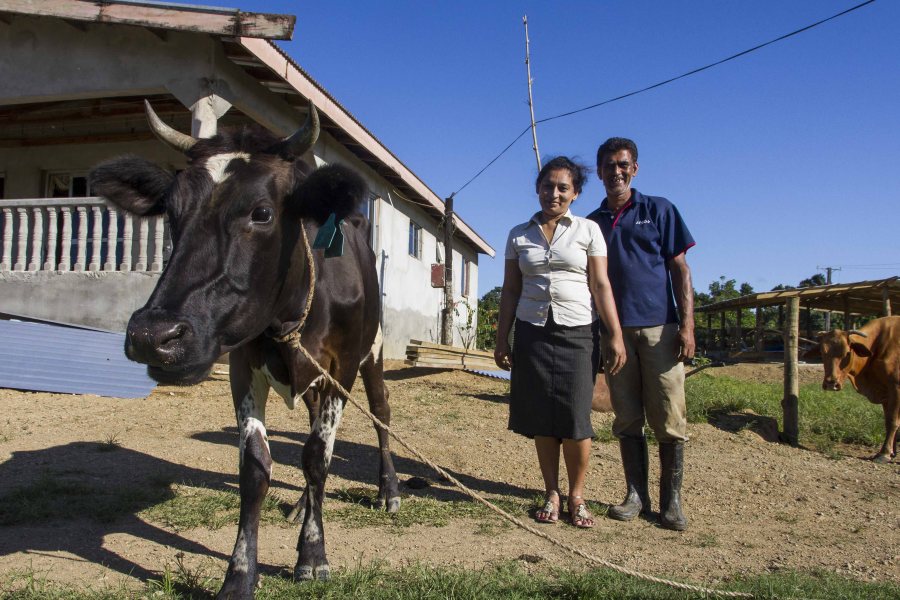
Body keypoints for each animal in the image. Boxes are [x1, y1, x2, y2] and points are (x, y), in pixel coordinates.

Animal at [91, 101, 400, 596]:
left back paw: (387, 490)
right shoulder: (243, 364)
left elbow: (318, 457)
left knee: (380, 413)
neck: (291, 315)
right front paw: (239, 574)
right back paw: (302, 505)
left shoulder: (341, 365)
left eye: (262, 213)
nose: (153, 336)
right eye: (172, 213)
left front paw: (313, 556)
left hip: (372, 350)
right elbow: (256, 467)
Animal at [816, 316, 900, 462]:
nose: (831, 383)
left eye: (847, 353)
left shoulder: (896, 387)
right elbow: (888, 421)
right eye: (822, 352)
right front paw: (892, 452)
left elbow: (893, 421)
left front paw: (884, 453)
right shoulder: (885, 392)